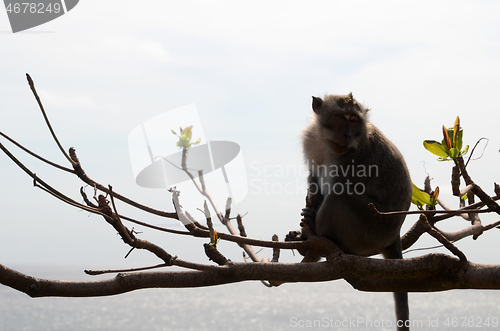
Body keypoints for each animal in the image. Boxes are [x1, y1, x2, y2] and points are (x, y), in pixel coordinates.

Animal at [288, 93, 412, 331]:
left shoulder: (351, 157)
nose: (348, 134)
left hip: (372, 228)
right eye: (341, 117)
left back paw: (324, 243)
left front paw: (310, 224)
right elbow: (314, 177)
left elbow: (333, 187)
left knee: (339, 195)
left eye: (354, 121)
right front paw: (303, 230)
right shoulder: (311, 141)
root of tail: (394, 235)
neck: (326, 143)